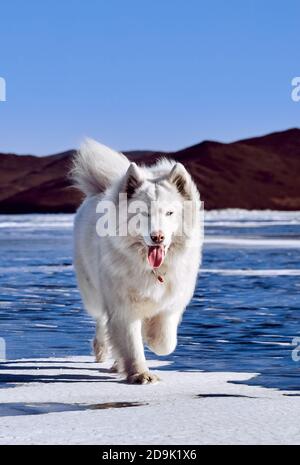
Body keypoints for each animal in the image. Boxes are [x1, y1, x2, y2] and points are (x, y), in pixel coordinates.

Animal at [72, 140, 203, 382]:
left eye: (169, 213)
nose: (157, 237)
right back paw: (102, 351)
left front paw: (150, 335)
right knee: (101, 322)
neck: (152, 269)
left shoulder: (172, 303)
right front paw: (141, 375)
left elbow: (164, 342)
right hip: (93, 293)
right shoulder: (122, 305)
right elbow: (131, 343)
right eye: (144, 213)